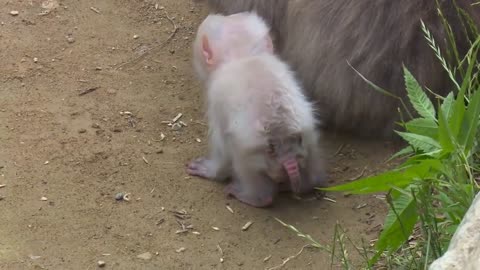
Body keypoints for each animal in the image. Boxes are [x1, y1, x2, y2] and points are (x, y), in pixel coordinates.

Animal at [188, 11, 326, 208]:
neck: (244, 55)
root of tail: (286, 150)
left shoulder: (216, 99)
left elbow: (220, 145)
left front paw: (210, 170)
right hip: (308, 141)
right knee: (312, 177)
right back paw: (305, 183)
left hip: (253, 156)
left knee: (252, 177)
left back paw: (250, 196)